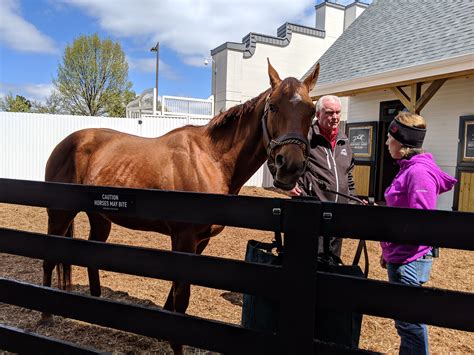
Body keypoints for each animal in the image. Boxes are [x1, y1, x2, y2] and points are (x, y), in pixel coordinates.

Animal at [44, 60, 320, 354]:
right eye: (274, 106)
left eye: (311, 111)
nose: (289, 165)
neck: (211, 160)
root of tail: (65, 144)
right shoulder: (184, 238)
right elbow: (182, 295)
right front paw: (177, 344)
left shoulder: (199, 242)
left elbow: (176, 291)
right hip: (59, 215)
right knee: (49, 259)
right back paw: (46, 316)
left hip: (100, 218)